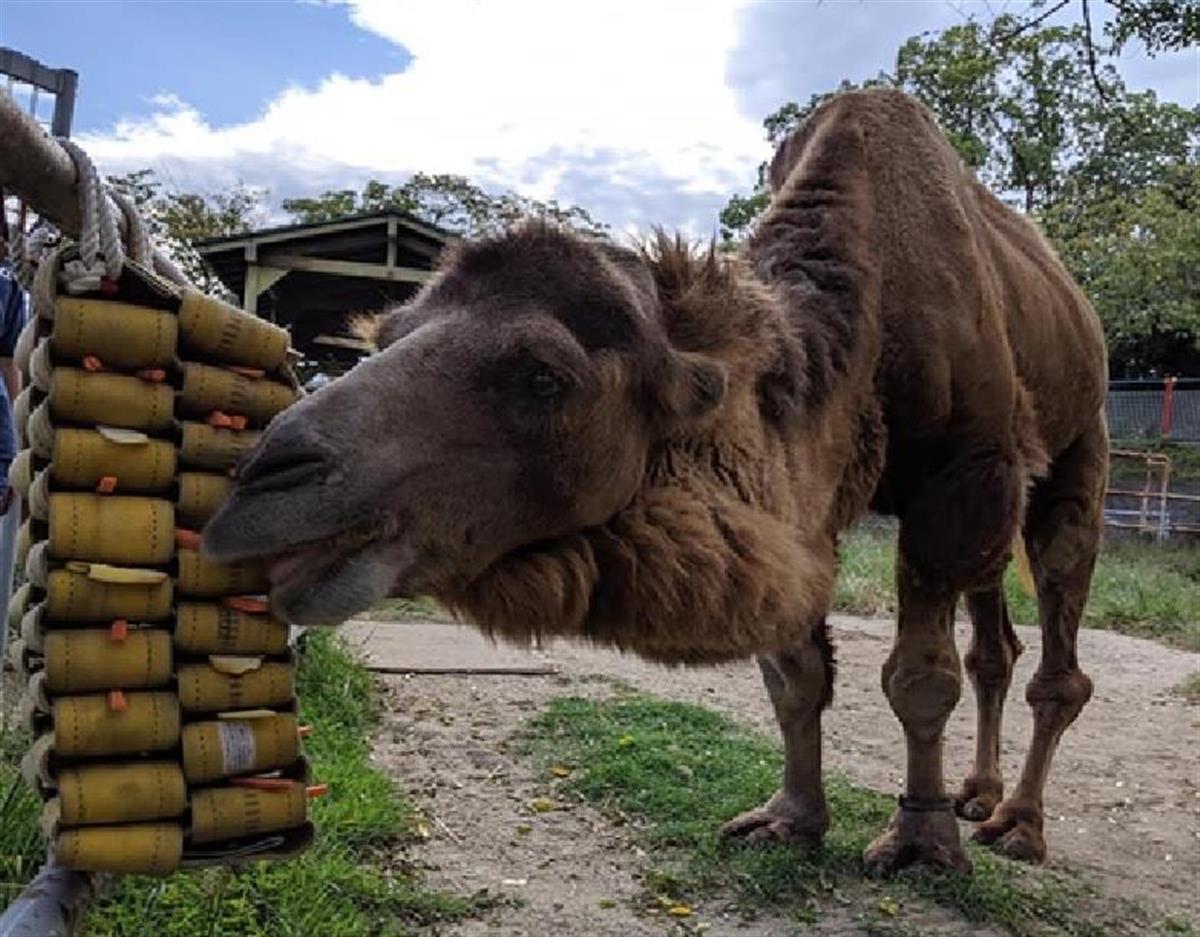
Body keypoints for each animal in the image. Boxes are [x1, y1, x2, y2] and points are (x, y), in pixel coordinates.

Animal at [204, 91, 1104, 873]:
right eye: (386, 333)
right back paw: (977, 792)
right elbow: (793, 674)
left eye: (544, 375)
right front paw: (789, 819)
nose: (261, 483)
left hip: (1075, 445)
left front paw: (920, 842)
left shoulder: (963, 474)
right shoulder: (802, 509)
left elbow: (918, 677)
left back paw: (1016, 823)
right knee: (996, 645)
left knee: (1054, 634)